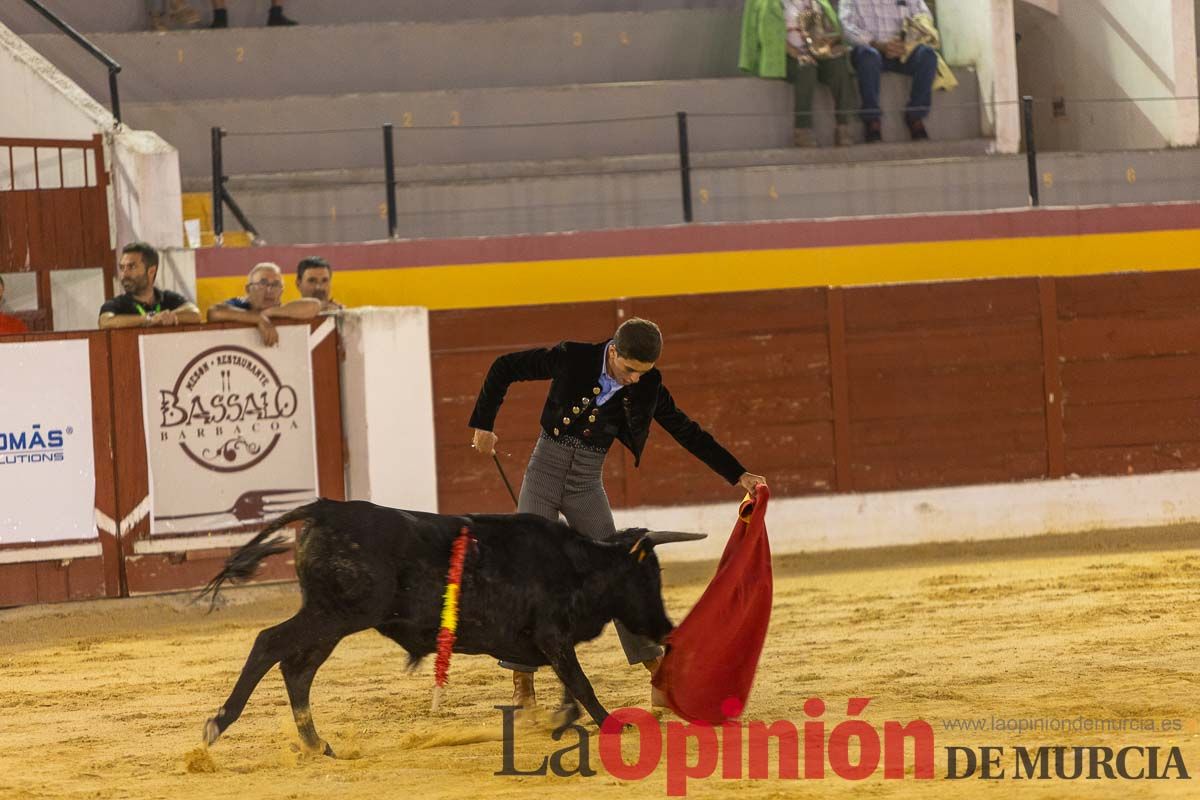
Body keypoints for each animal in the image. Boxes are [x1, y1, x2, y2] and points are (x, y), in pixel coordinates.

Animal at [196, 496, 700, 753]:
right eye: (648, 575)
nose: (665, 626)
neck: (579, 564)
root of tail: (324, 508)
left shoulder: (552, 643)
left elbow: (569, 686)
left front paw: (562, 718)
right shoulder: (553, 636)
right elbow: (581, 684)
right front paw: (612, 723)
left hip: (333, 620)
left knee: (297, 669)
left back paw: (318, 745)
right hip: (334, 613)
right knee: (270, 643)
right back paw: (218, 724)